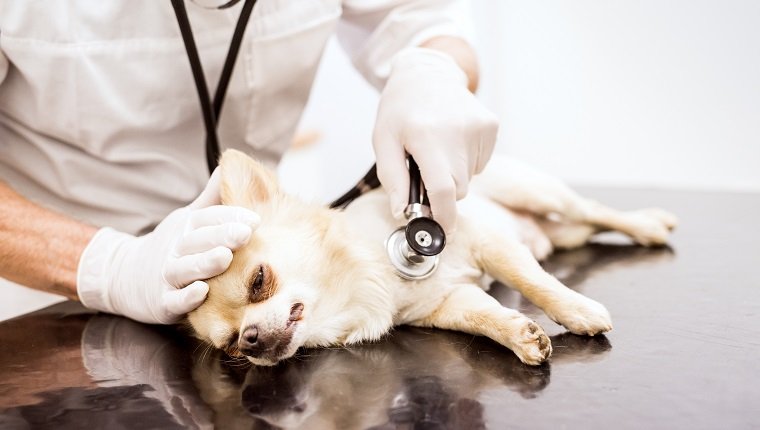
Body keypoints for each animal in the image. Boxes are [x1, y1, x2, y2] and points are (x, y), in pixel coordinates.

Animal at [189, 150, 676, 366]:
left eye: (258, 280)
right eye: (230, 344)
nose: (250, 340)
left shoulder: (490, 245)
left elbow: (535, 283)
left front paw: (577, 310)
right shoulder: (450, 302)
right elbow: (485, 318)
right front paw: (521, 335)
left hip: (537, 193)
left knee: (592, 209)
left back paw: (649, 225)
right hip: (558, 236)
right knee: (582, 227)